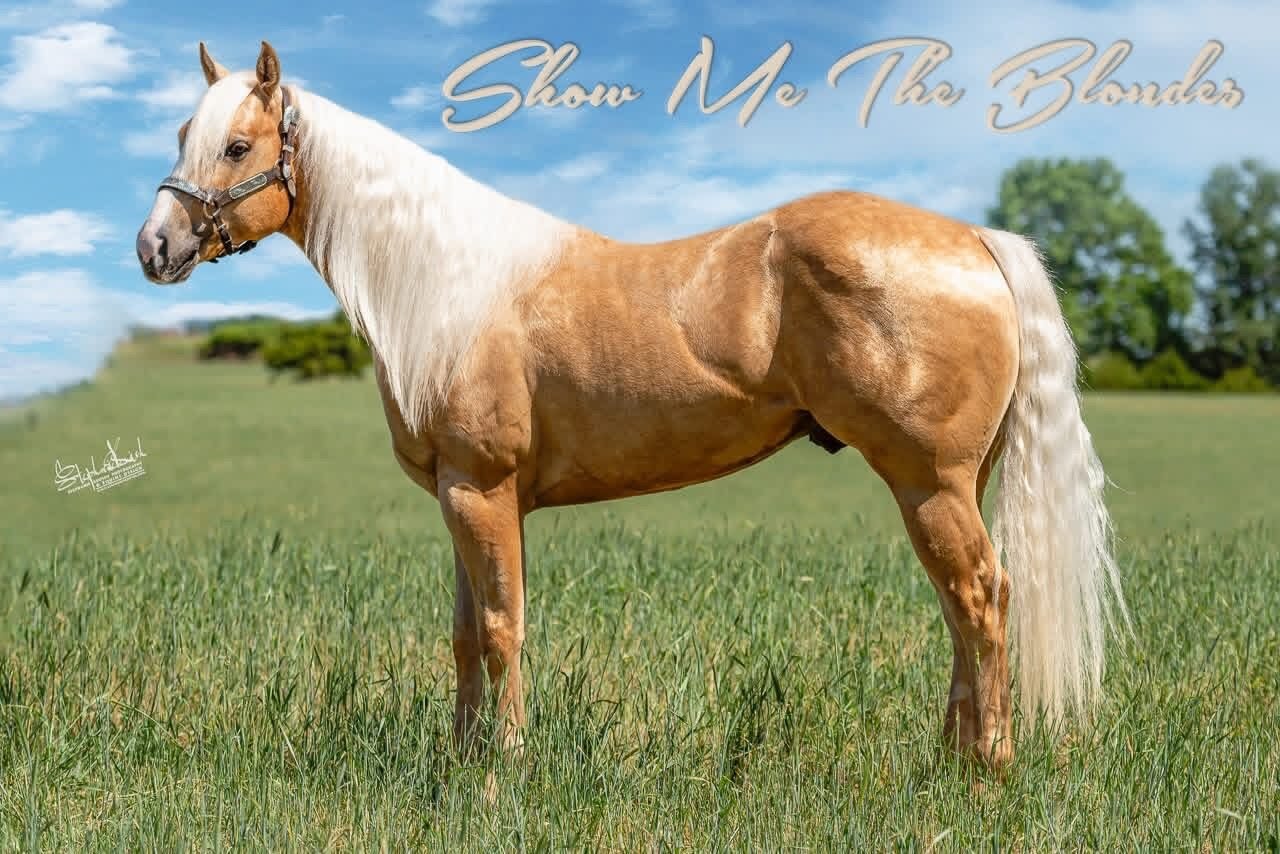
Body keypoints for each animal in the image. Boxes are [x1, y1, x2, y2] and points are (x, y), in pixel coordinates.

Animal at [135, 41, 1128, 770]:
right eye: (185, 131)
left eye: (236, 147)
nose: (155, 247)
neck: (450, 286)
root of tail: (976, 239)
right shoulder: (463, 496)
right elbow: (463, 636)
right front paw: (460, 763)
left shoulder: (483, 492)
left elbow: (503, 629)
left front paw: (502, 771)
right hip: (952, 486)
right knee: (963, 607)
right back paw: (950, 762)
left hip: (929, 483)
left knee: (982, 599)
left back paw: (985, 771)